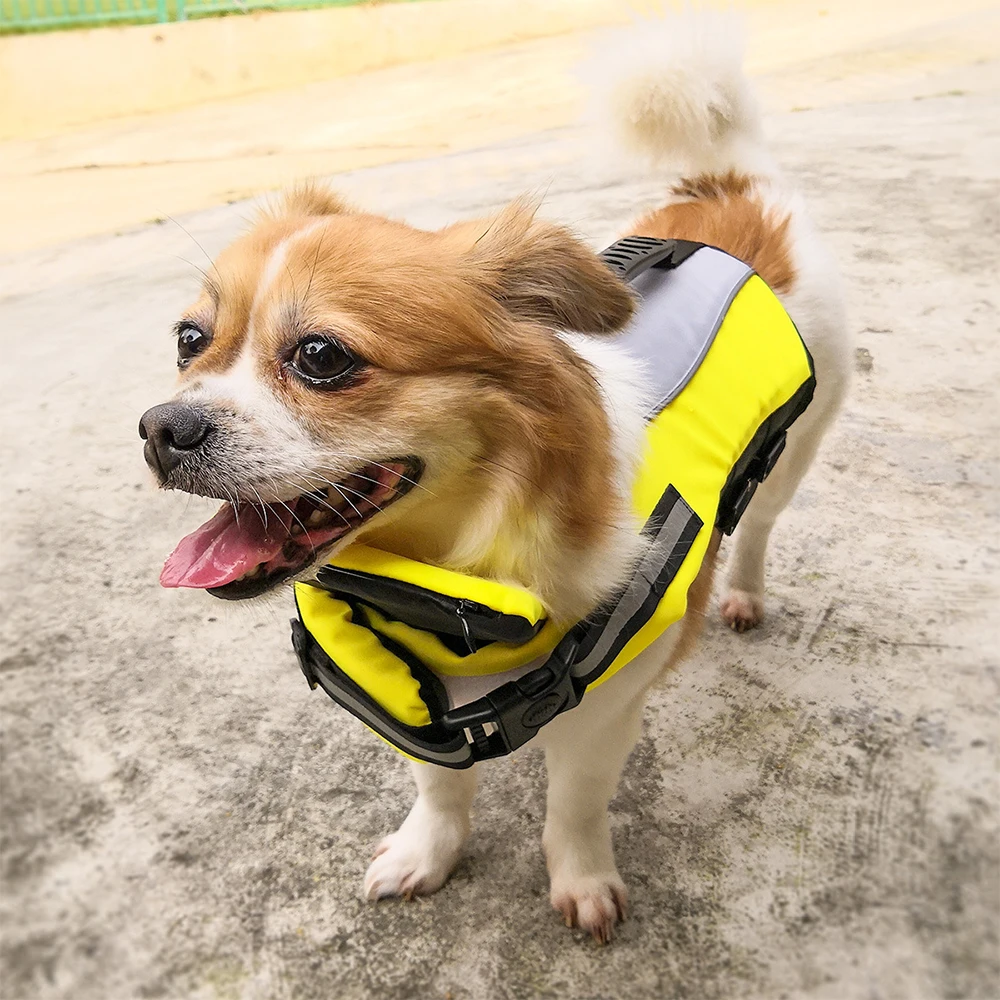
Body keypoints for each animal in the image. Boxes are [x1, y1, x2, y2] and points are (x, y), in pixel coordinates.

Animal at [137, 17, 848, 944]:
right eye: (190, 342)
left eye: (322, 356)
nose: (160, 429)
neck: (450, 581)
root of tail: (737, 186)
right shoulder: (411, 703)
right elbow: (440, 786)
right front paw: (427, 854)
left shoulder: (600, 717)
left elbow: (573, 807)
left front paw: (581, 880)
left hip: (796, 448)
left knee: (758, 523)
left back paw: (744, 593)